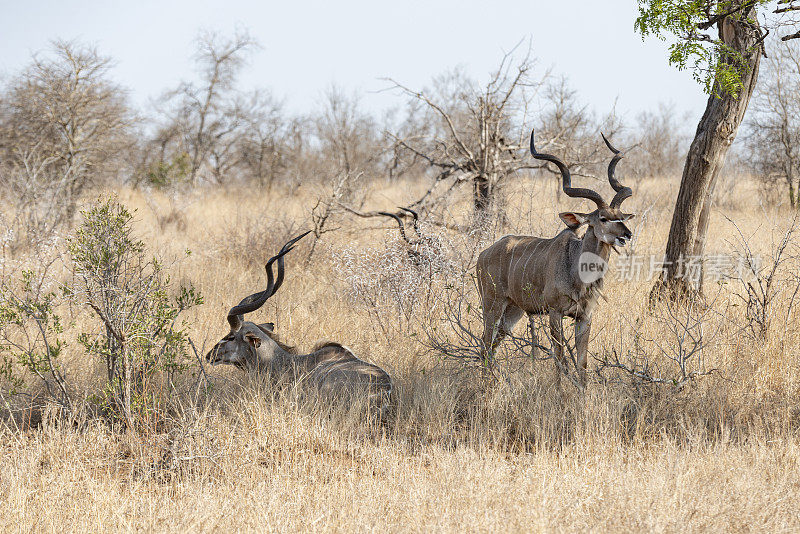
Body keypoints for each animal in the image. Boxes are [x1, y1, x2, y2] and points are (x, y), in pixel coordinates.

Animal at [476, 131, 636, 388]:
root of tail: (483, 254)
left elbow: (582, 364)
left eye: (620, 216)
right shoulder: (554, 312)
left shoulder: (585, 316)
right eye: (602, 218)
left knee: (492, 346)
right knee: (484, 343)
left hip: (512, 311)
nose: (627, 235)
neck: (577, 271)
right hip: (492, 305)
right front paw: (561, 392)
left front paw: (581, 393)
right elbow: (560, 359)